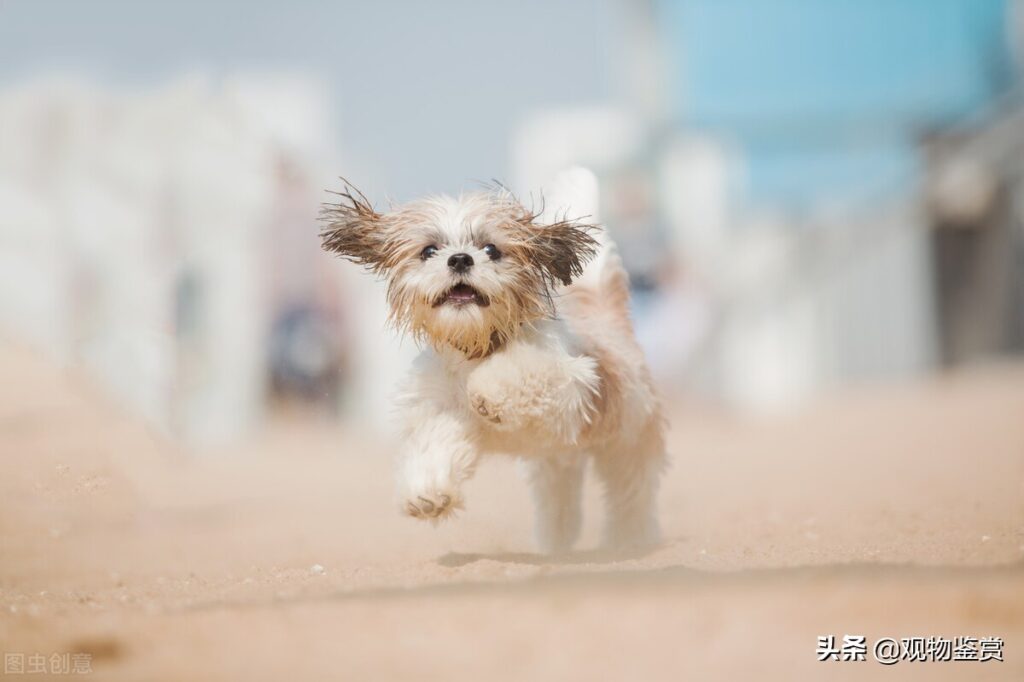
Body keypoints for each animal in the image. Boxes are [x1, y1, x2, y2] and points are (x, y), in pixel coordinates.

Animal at [323, 166, 667, 548]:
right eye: (429, 250)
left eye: (490, 248)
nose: (460, 258)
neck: (474, 347)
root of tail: (610, 324)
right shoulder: (442, 409)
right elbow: (436, 440)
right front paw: (427, 493)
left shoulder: (566, 375)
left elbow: (521, 372)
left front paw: (490, 393)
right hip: (555, 464)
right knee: (560, 501)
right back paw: (555, 543)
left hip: (629, 443)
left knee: (631, 497)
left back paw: (630, 541)